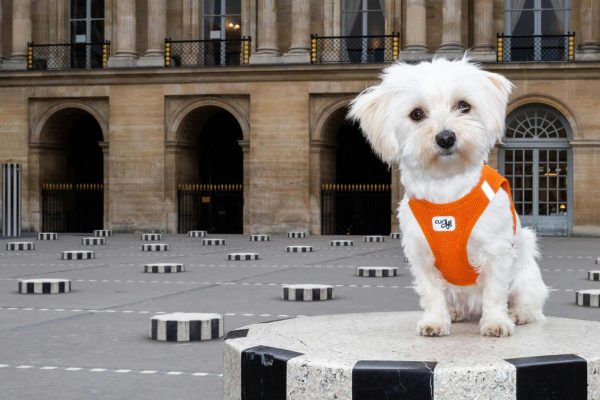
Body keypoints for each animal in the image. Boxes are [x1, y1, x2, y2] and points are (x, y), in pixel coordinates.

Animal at [346, 56, 548, 338]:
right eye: (416, 114)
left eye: (463, 105)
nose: (445, 137)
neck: (446, 192)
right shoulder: (422, 258)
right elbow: (432, 294)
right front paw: (435, 321)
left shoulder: (495, 252)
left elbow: (495, 292)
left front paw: (496, 322)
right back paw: (454, 313)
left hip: (525, 278)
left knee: (529, 302)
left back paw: (518, 314)